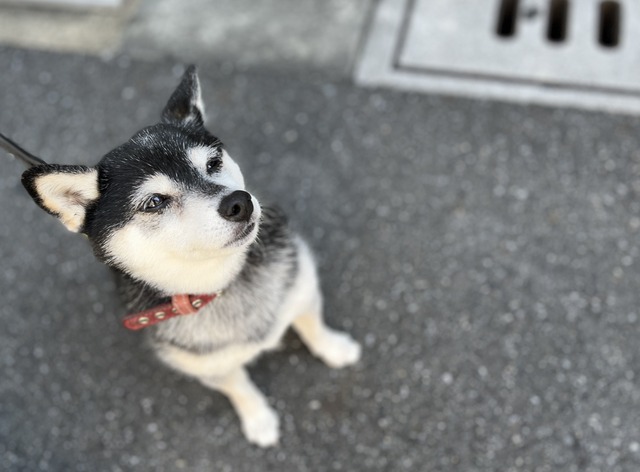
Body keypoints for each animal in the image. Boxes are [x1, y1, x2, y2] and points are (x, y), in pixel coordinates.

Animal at [0, 65, 360, 446]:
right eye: (155, 202)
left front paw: (334, 347)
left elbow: (312, 324)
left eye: (213, 163)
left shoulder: (300, 284)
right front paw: (258, 419)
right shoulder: (210, 367)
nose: (240, 203)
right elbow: (240, 388)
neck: (222, 287)